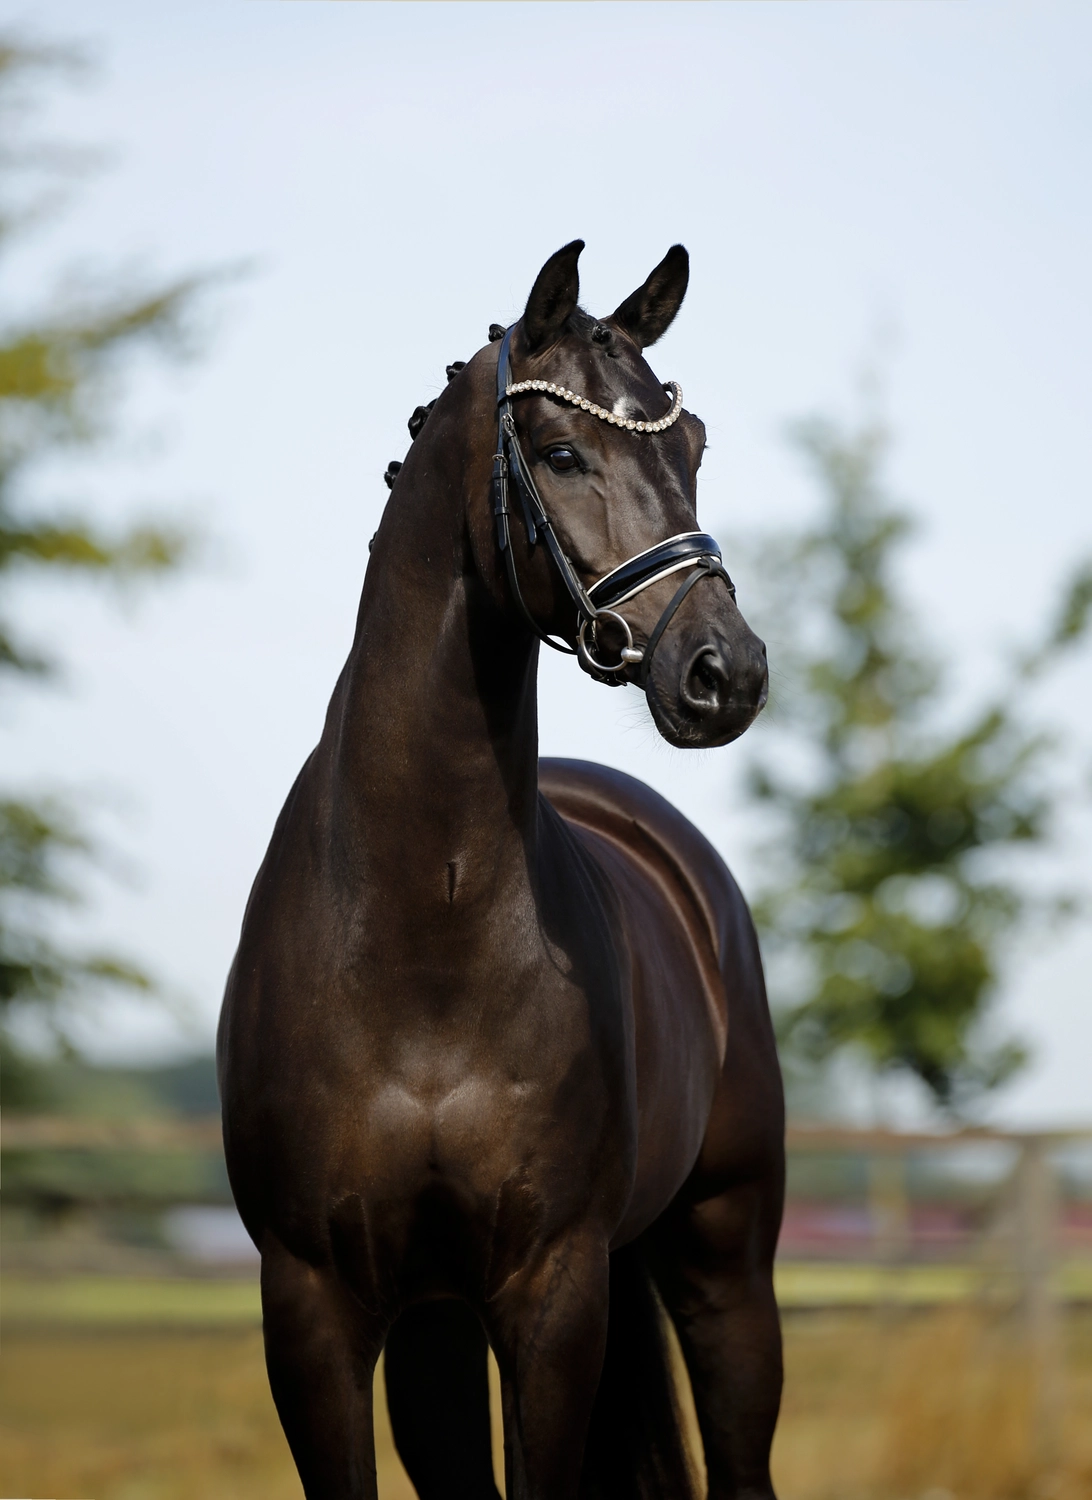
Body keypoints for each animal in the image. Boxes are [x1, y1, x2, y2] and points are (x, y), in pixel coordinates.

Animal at [218, 241, 785, 1500]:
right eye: (565, 452)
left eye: (695, 445)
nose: (724, 672)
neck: (423, 924)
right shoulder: (314, 1304)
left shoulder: (553, 1288)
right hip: (438, 1319)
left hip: (723, 1256)